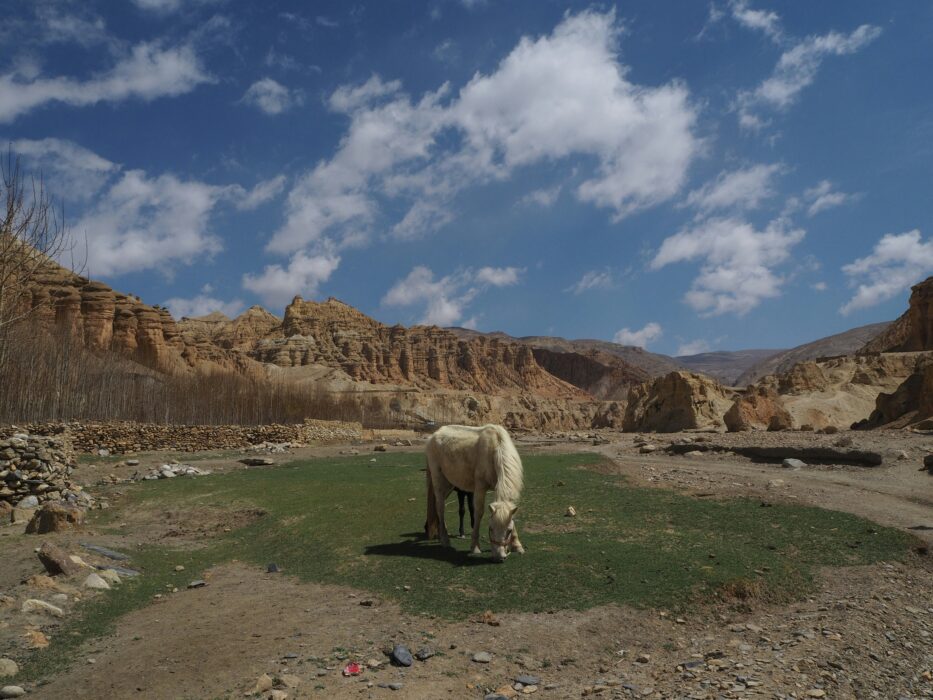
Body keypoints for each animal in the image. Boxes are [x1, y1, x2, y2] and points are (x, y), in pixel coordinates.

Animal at [424, 422, 524, 564]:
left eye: (509, 531)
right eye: (490, 528)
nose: (499, 557)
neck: (495, 451)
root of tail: (432, 436)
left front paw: (517, 546)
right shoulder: (480, 488)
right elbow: (478, 513)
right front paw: (475, 547)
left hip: (449, 484)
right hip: (438, 481)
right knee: (440, 507)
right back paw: (444, 539)